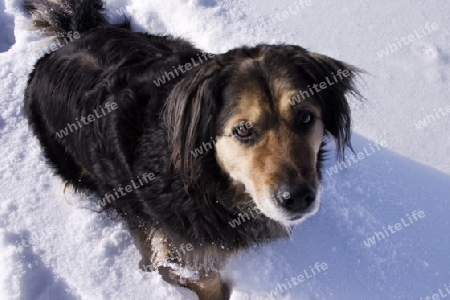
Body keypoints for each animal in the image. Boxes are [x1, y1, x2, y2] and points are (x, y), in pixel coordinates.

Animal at [23, 1, 362, 298]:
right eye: (243, 130)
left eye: (305, 117)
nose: (298, 199)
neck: (205, 183)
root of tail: (73, 37)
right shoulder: (184, 254)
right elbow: (195, 277)